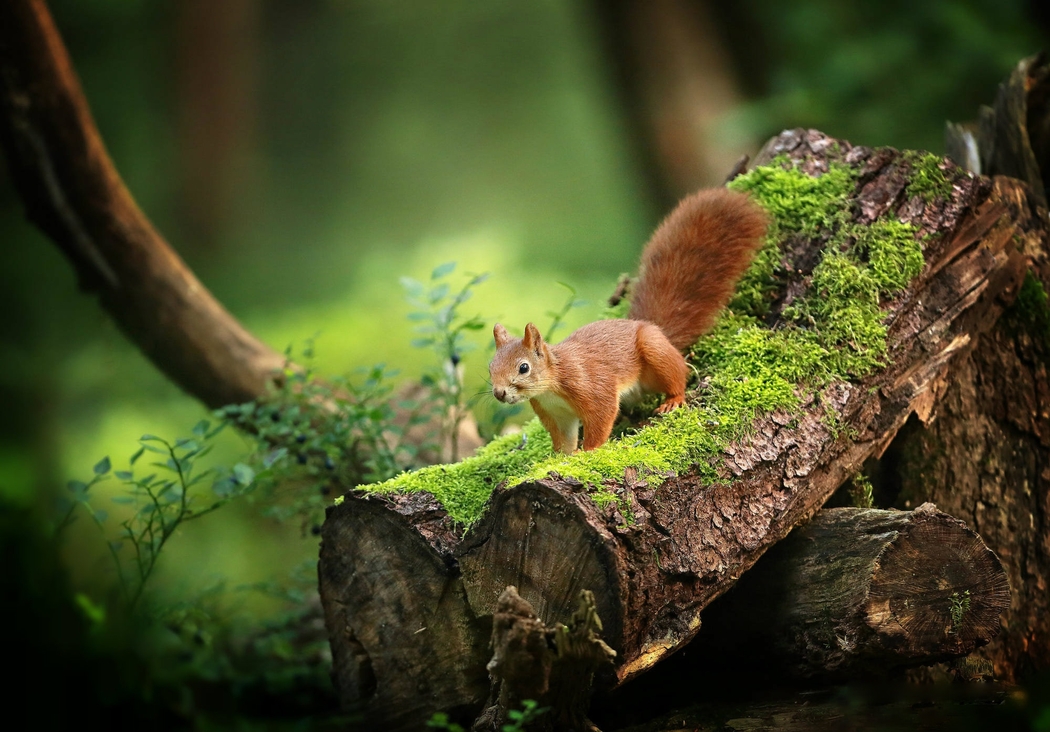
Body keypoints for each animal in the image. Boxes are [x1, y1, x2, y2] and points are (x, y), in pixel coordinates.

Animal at [487, 186, 768, 451]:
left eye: (524, 367)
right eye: (490, 367)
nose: (499, 393)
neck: (552, 385)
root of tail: (651, 327)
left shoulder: (592, 388)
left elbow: (601, 418)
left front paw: (589, 451)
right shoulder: (555, 413)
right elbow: (563, 440)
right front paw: (561, 458)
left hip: (654, 350)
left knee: (680, 373)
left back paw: (674, 399)